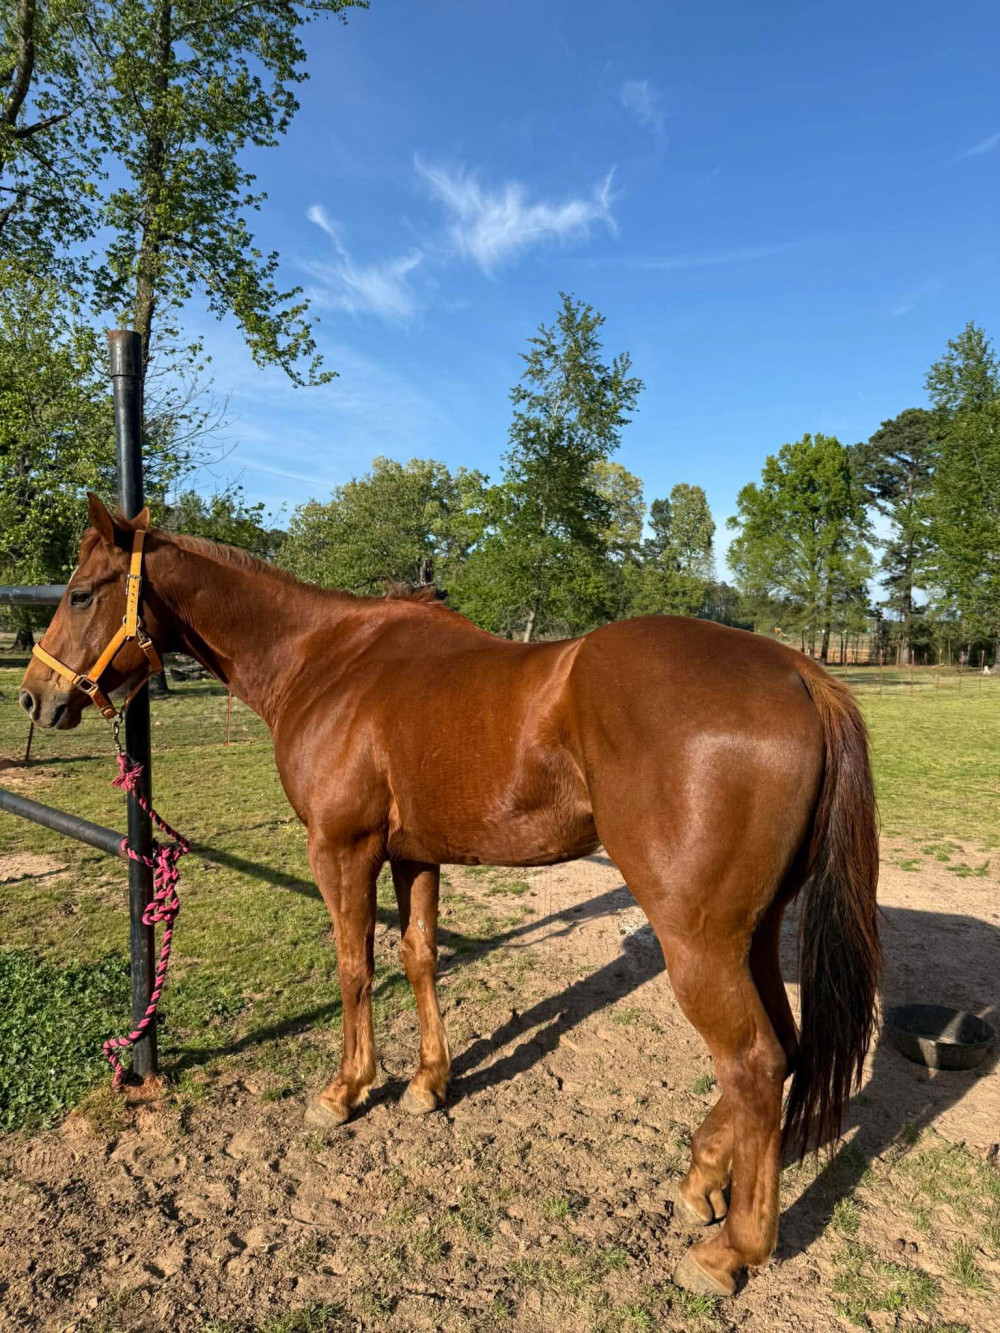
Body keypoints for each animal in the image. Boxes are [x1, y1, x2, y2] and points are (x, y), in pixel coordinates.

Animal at [19, 494, 881, 1297]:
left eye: (83, 592)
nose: (33, 696)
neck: (326, 660)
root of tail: (802, 674)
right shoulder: (414, 856)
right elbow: (419, 956)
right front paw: (429, 1082)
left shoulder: (342, 851)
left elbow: (354, 967)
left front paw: (346, 1089)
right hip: (751, 931)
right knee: (782, 1047)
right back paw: (702, 1177)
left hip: (696, 938)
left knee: (754, 1063)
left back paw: (730, 1250)